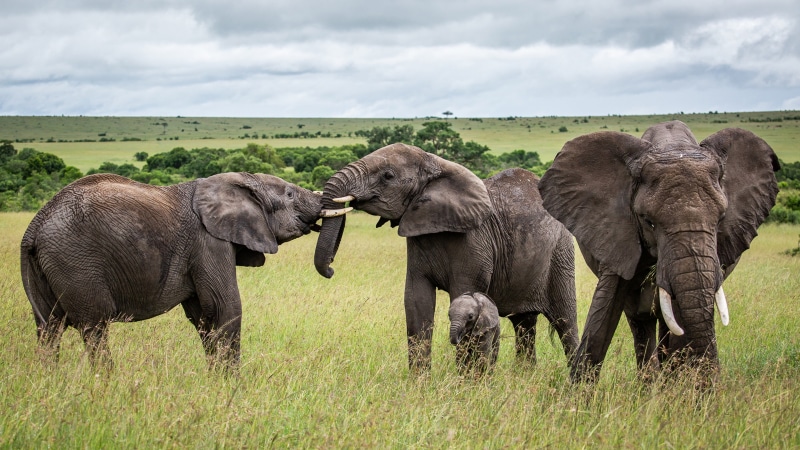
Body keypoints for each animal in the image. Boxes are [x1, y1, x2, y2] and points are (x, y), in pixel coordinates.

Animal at [20, 172, 322, 370]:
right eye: (290, 194)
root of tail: (35, 226)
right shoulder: (208, 241)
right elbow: (224, 307)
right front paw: (231, 388)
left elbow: (203, 317)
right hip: (75, 264)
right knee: (94, 328)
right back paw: (105, 383)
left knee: (49, 330)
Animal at [314, 143, 579, 373]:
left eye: (388, 176)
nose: (331, 269)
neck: (436, 164)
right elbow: (416, 300)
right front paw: (419, 384)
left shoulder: (474, 240)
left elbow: (463, 294)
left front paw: (463, 382)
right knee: (524, 324)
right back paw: (524, 375)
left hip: (561, 254)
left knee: (566, 321)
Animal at [538, 120, 780, 385]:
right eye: (648, 221)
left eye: (721, 220)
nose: (713, 381)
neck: (673, 147)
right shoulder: (616, 232)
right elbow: (604, 310)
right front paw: (578, 394)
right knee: (640, 321)